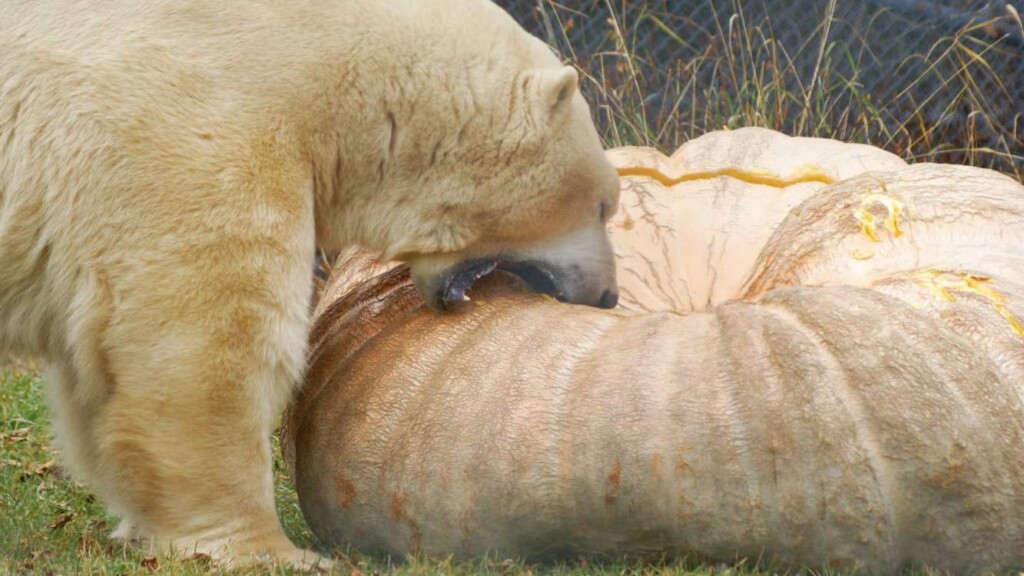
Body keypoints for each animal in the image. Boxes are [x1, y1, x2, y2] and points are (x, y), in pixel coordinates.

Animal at [0, 0, 621, 568]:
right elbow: (211, 343)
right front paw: (273, 552)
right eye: (603, 203)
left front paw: (141, 527)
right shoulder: (195, 127)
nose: (608, 295)